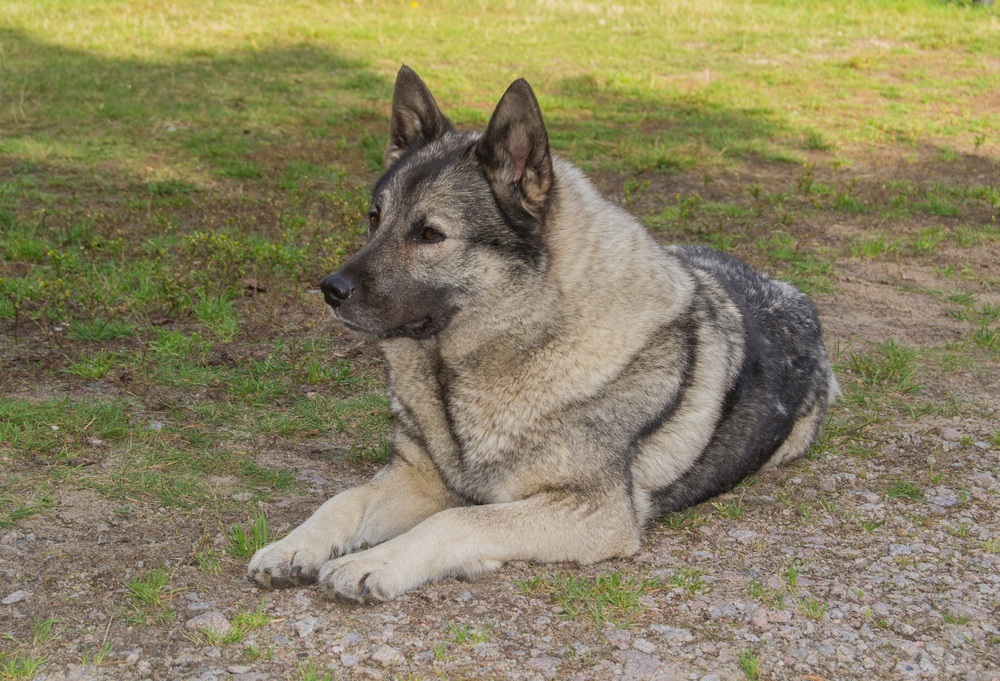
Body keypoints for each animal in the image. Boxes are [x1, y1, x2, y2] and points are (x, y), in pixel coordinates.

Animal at [246, 67, 840, 600]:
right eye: (374, 219)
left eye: (430, 234)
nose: (330, 289)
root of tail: (789, 291)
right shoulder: (418, 477)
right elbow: (343, 499)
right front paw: (292, 545)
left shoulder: (595, 512)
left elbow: (459, 521)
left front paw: (376, 563)